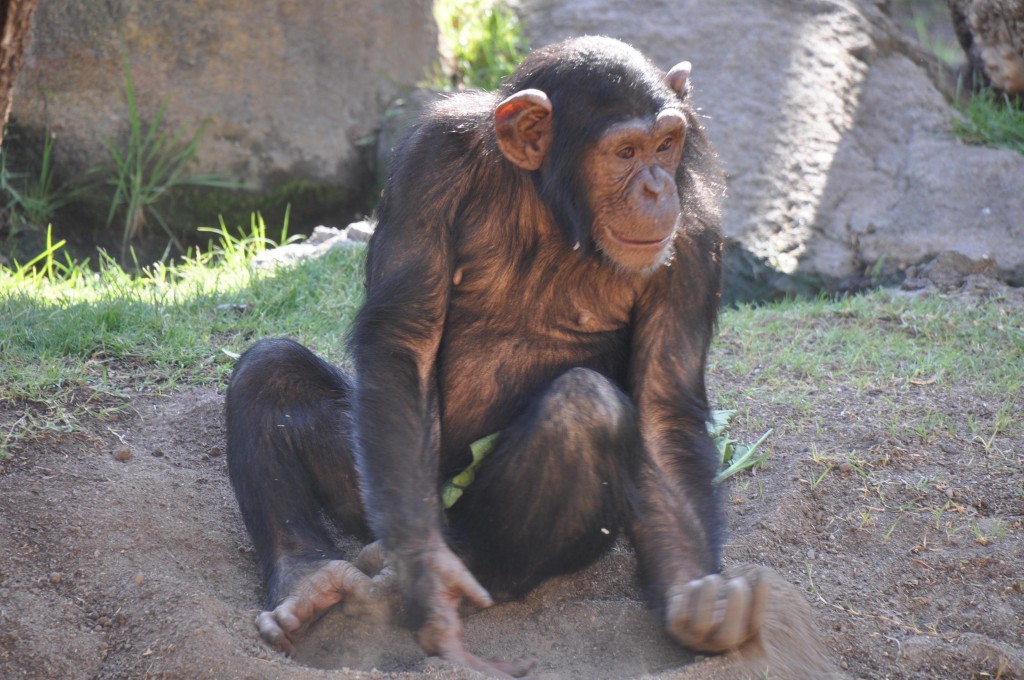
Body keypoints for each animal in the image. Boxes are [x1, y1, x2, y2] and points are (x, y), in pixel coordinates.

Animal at [226, 35, 770, 675]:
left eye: (666, 145)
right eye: (625, 152)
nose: (657, 187)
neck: (550, 204)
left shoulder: (695, 227)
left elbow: (662, 402)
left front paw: (698, 599)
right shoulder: (431, 159)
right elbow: (403, 342)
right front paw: (427, 571)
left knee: (583, 411)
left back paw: (434, 578)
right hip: (384, 482)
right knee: (271, 371)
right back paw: (308, 583)